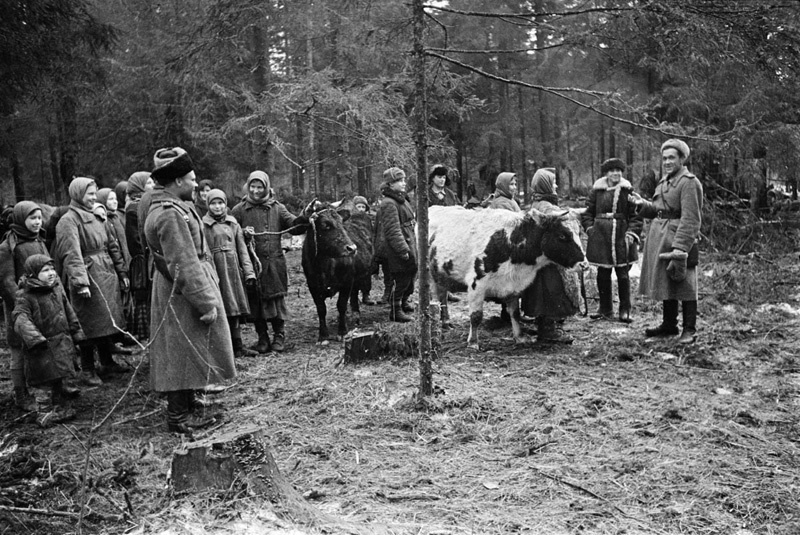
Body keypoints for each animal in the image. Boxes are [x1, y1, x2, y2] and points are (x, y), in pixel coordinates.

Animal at [428, 204, 584, 348]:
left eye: (579, 232)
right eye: (562, 235)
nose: (584, 264)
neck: (511, 242)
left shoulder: (514, 285)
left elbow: (515, 313)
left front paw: (519, 337)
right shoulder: (476, 284)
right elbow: (476, 316)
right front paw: (473, 342)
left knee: (442, 297)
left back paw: (446, 321)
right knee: (436, 298)